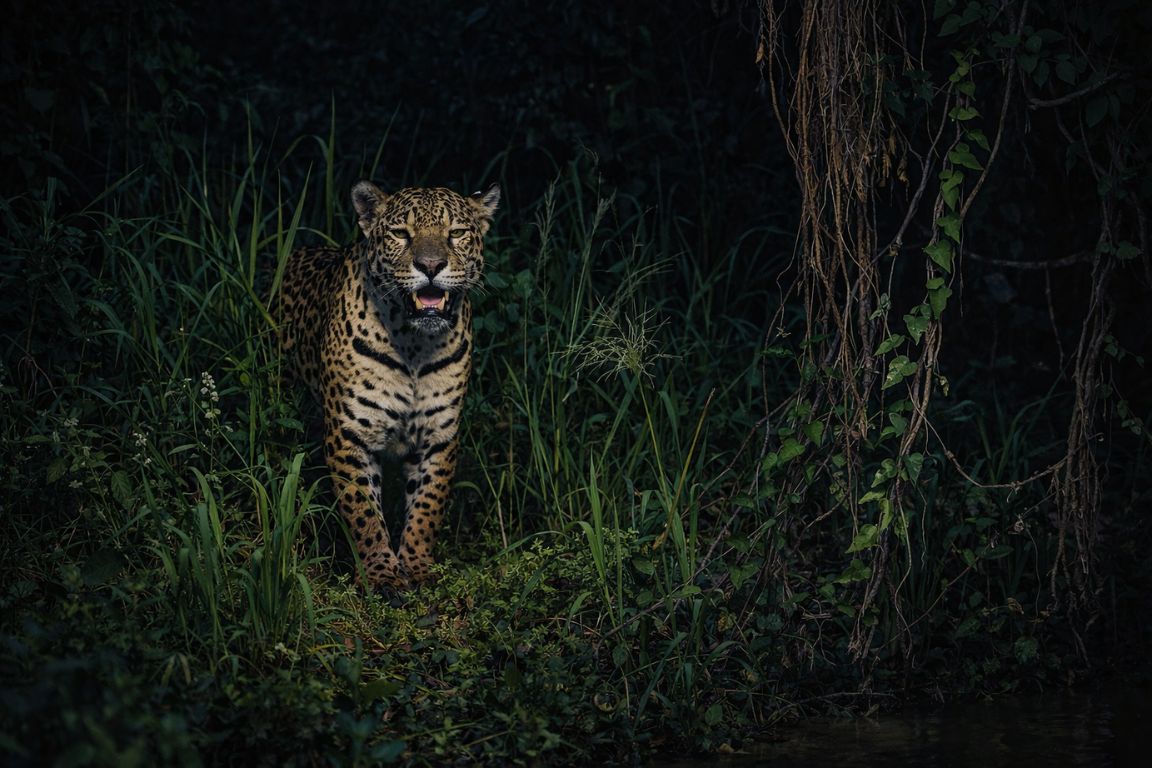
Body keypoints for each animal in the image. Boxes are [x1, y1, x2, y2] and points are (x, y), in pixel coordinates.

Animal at [275, 179, 499, 590]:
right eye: (401, 234)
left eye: (455, 233)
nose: (430, 266)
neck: (414, 345)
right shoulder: (350, 435)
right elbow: (363, 511)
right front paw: (381, 572)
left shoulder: (438, 436)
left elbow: (427, 505)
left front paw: (418, 565)